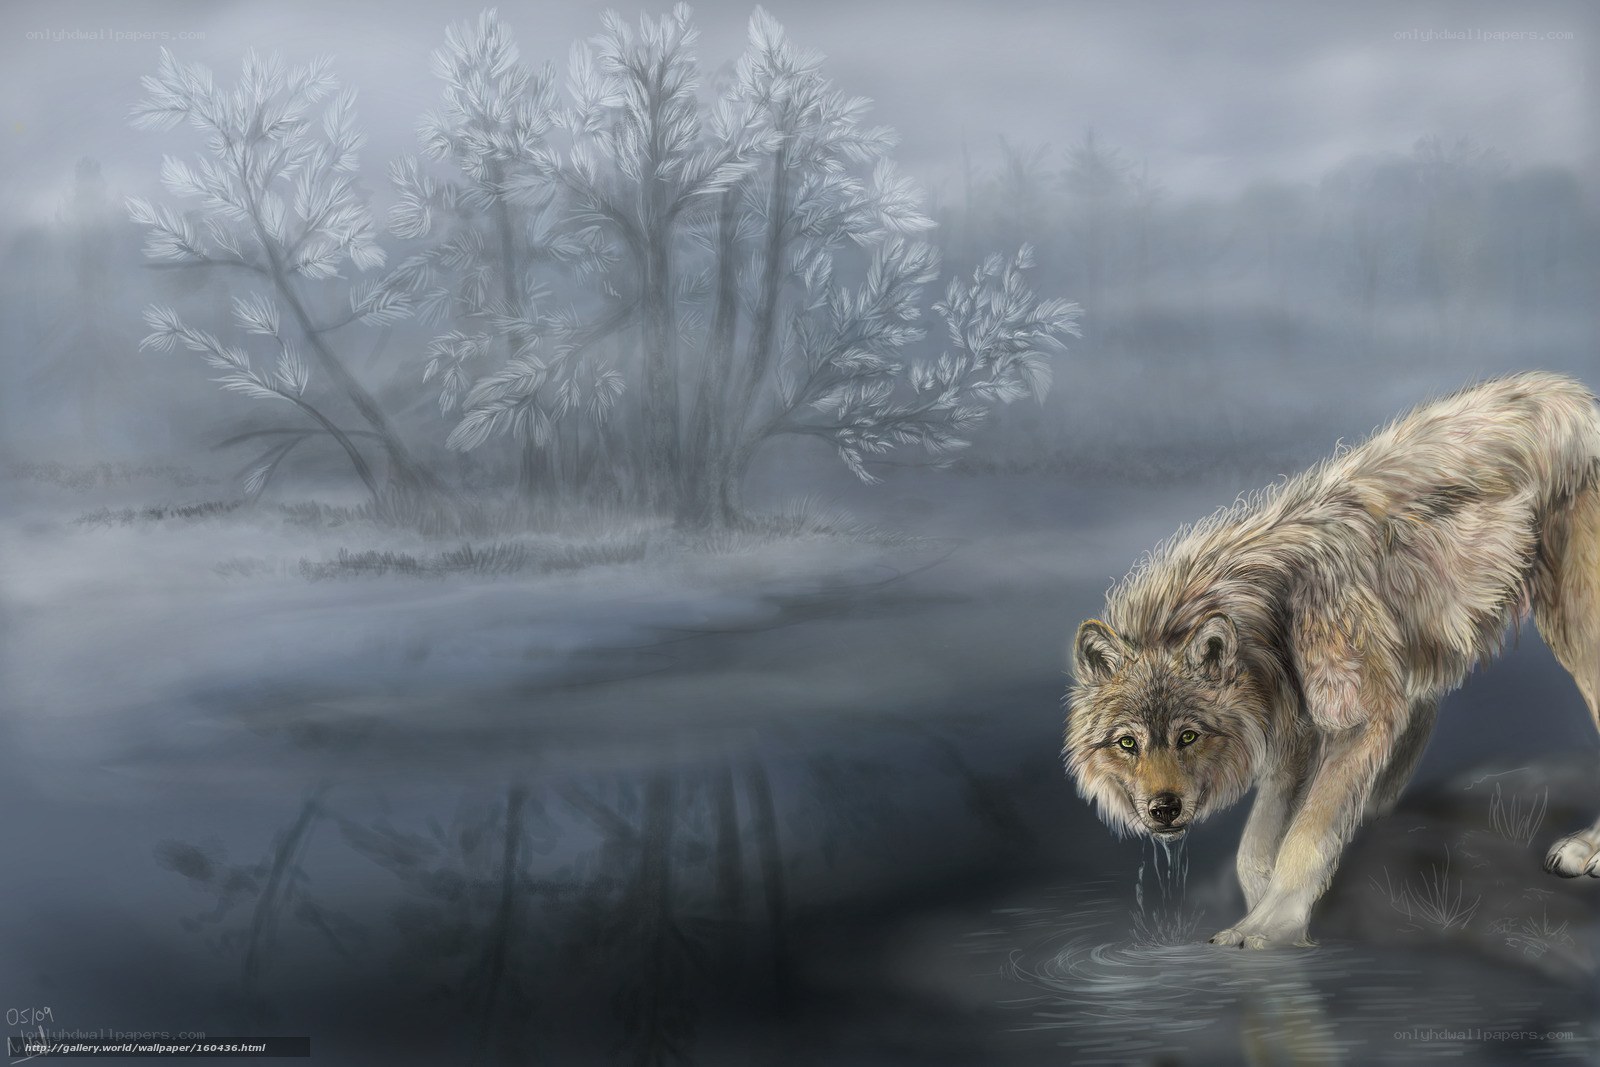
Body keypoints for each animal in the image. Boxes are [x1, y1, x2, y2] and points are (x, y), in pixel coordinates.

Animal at [1063, 371, 1600, 949]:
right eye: (1127, 743)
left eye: (1188, 735)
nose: (1164, 809)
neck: (1269, 618)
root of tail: (1577, 398)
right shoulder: (1294, 729)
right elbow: (1255, 847)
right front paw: (1257, 905)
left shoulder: (1357, 720)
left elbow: (1307, 835)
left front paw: (1270, 927)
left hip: (1578, 637)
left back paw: (1585, 849)